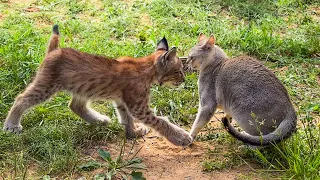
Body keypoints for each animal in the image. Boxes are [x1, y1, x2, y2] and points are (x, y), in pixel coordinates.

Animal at [3, 25, 192, 146]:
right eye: (178, 71)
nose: (183, 80)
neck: (147, 67)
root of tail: (55, 50)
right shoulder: (138, 106)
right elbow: (160, 121)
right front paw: (180, 137)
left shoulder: (122, 101)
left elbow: (125, 118)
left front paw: (133, 133)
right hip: (47, 85)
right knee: (21, 98)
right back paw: (11, 126)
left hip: (82, 87)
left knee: (75, 105)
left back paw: (99, 120)